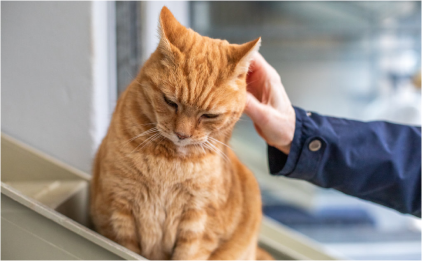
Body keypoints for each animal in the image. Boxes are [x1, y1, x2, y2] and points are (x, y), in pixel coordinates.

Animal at [90, 6, 274, 260]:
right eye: (170, 102)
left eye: (209, 115)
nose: (182, 134)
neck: (170, 162)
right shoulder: (119, 209)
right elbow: (126, 248)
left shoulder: (198, 222)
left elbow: (188, 253)